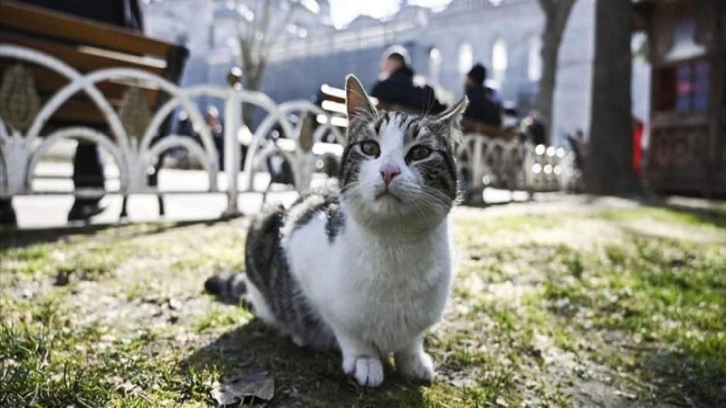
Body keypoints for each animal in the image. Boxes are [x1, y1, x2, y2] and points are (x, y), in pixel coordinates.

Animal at [206, 75, 466, 386]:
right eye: (370, 148)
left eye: (420, 152)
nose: (389, 171)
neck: (395, 244)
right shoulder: (299, 235)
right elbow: (346, 328)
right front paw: (364, 358)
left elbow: (412, 340)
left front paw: (412, 359)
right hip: (266, 217)